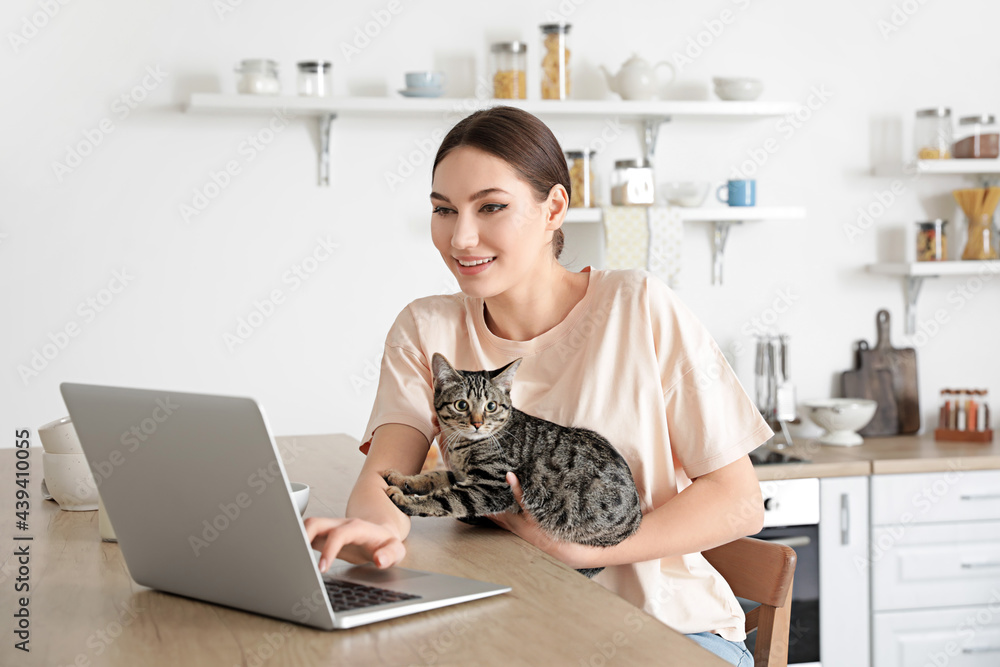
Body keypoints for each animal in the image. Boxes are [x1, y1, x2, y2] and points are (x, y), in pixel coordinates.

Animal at [378, 352, 644, 576]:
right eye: (461, 405)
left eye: (491, 406)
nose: (477, 423)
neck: (464, 446)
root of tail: (635, 519)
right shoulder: (464, 475)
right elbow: (434, 477)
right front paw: (404, 480)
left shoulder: (491, 486)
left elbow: (446, 500)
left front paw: (406, 500)